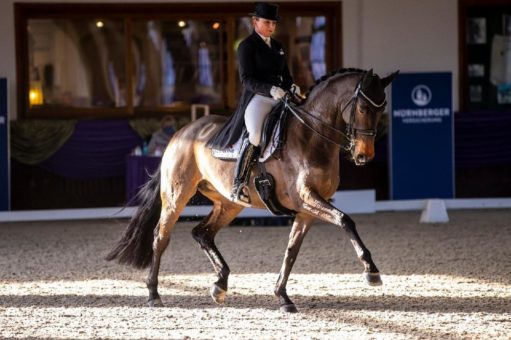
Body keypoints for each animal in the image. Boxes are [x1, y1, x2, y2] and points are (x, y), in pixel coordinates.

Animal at [106, 67, 398, 312]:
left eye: (382, 107)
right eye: (363, 108)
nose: (364, 156)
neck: (311, 136)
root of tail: (181, 132)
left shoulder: (308, 210)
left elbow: (291, 251)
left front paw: (283, 297)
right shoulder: (306, 198)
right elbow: (345, 220)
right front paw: (371, 271)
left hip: (229, 203)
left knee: (202, 233)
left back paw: (220, 285)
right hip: (177, 197)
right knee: (160, 237)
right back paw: (154, 294)